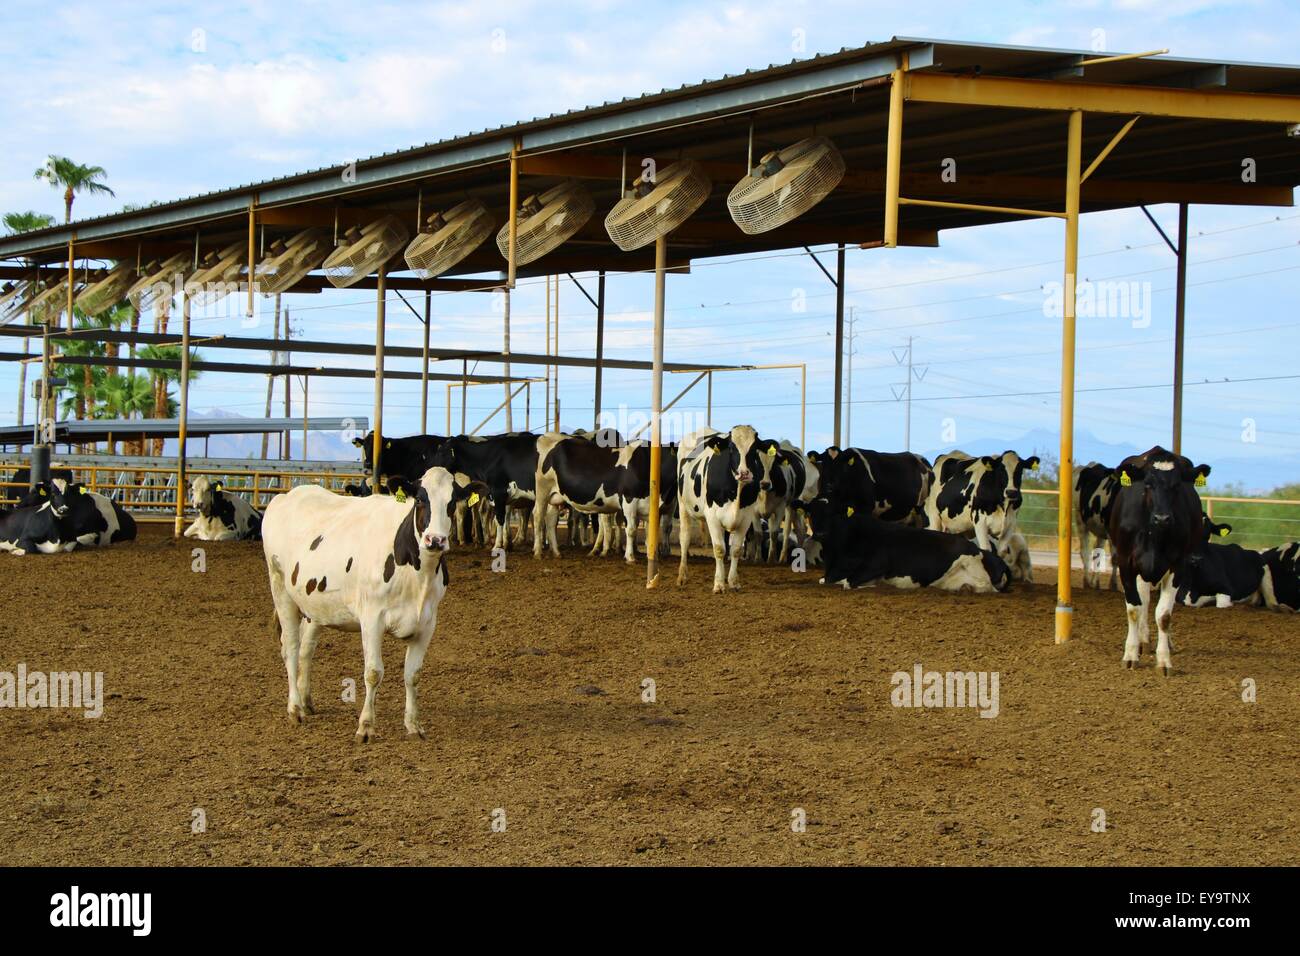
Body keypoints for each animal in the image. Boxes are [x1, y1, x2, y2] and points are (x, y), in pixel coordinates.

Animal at [261, 463, 486, 738]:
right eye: (420, 499)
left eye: (452, 502)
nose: (435, 540)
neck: (415, 575)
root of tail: (286, 496)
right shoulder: (371, 618)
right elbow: (373, 672)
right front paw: (366, 726)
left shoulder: (427, 622)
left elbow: (413, 674)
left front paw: (414, 725)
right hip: (280, 587)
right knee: (291, 647)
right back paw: (294, 709)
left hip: (315, 603)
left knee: (306, 648)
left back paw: (306, 701)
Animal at [681, 426, 780, 590]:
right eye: (732, 448)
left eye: (754, 448)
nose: (744, 473)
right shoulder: (712, 516)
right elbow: (719, 549)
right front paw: (719, 584)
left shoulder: (746, 517)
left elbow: (736, 549)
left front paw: (733, 581)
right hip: (683, 505)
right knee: (685, 538)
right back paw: (682, 575)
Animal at [806, 496, 1008, 595]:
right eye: (811, 513)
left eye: (833, 513)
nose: (820, 533)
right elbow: (825, 581)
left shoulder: (877, 564)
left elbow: (848, 583)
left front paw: (873, 585)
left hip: (971, 561)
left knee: (990, 587)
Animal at [1102, 447, 1211, 676]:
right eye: (1148, 484)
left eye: (1177, 485)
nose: (1162, 518)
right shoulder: (1126, 563)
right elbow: (1134, 609)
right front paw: (1130, 654)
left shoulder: (1177, 566)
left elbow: (1164, 615)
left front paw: (1164, 660)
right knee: (1143, 601)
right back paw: (1142, 641)